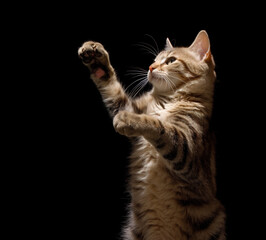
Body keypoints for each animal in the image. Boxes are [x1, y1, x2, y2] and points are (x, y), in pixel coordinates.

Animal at [78, 30, 225, 240]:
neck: (168, 99)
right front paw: (97, 61)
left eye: (171, 60)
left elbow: (157, 124)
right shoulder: (129, 106)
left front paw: (129, 119)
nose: (150, 67)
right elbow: (112, 90)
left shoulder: (187, 149)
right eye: (154, 60)